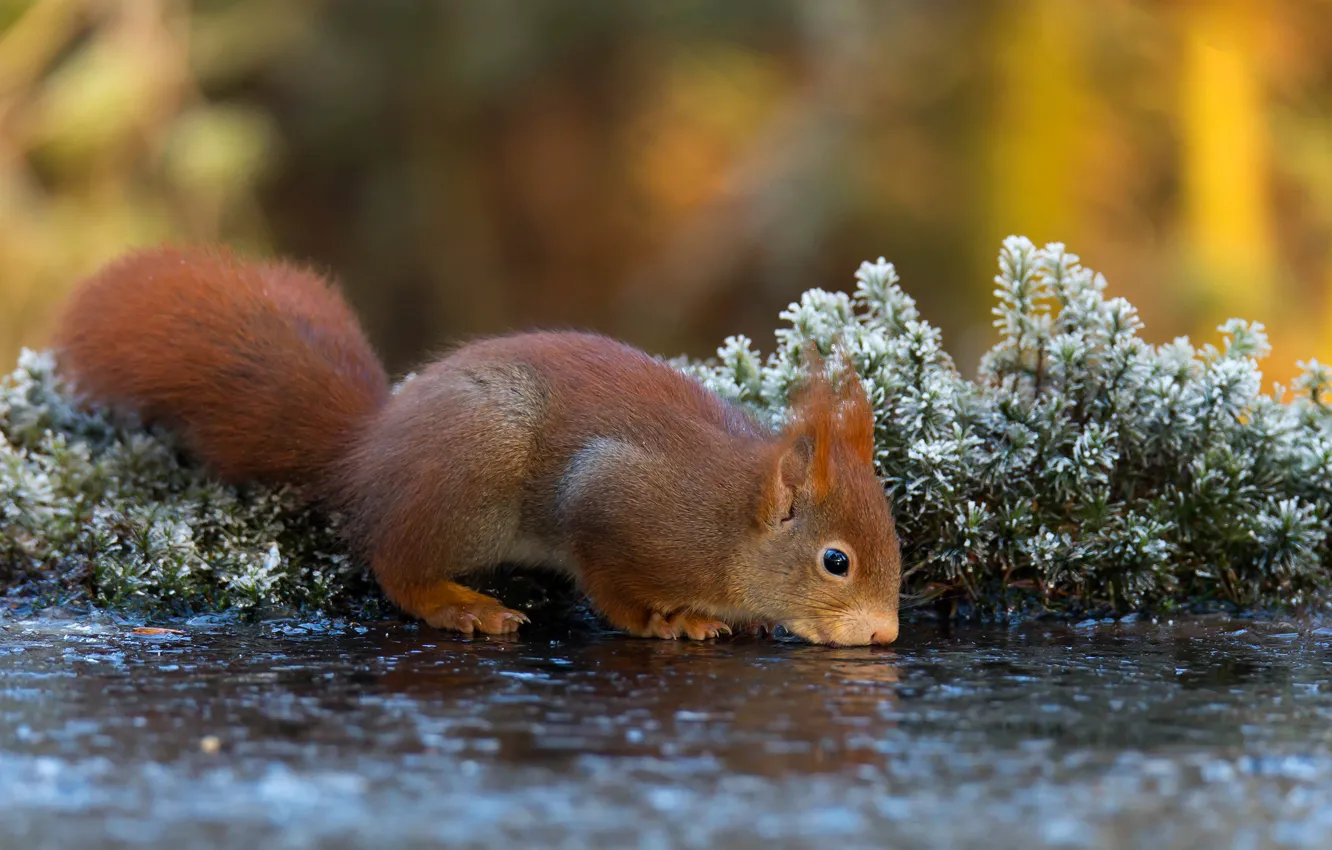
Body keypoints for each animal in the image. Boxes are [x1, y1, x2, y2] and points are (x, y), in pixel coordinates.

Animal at [54, 246, 905, 644]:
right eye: (835, 562)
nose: (885, 635)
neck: (729, 519)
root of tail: (368, 452)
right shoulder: (613, 501)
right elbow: (611, 587)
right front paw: (672, 623)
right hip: (472, 487)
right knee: (395, 564)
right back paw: (458, 605)